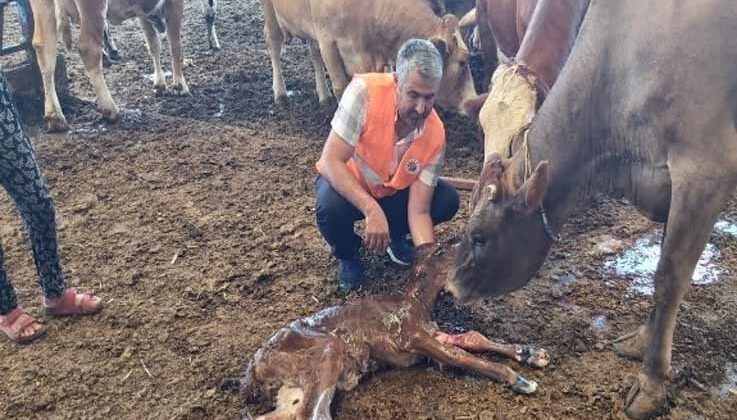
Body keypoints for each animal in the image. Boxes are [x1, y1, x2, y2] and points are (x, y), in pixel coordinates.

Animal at [29, 0, 188, 131]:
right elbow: (175, 45)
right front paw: (180, 85)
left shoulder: (142, 11)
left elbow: (153, 44)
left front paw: (160, 82)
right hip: (93, 8)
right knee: (88, 49)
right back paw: (110, 109)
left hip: (44, 7)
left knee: (44, 48)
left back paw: (55, 117)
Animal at [242, 244, 548, 418]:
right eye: (447, 250)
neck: (417, 301)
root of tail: (253, 369)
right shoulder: (410, 336)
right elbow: (461, 356)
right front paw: (519, 379)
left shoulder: (432, 333)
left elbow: (473, 338)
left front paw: (531, 352)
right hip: (327, 351)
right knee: (313, 413)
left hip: (292, 391)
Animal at [258, 0, 478, 114]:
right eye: (463, 61)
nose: (473, 101)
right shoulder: (328, 41)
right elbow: (341, 87)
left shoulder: (377, 55)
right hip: (270, 10)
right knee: (274, 42)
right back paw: (281, 94)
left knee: (313, 52)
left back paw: (323, 95)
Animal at [446, 1, 736, 418]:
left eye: (480, 236)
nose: (451, 286)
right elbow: (662, 271)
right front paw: (642, 340)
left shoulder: (704, 175)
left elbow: (669, 280)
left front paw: (651, 383)